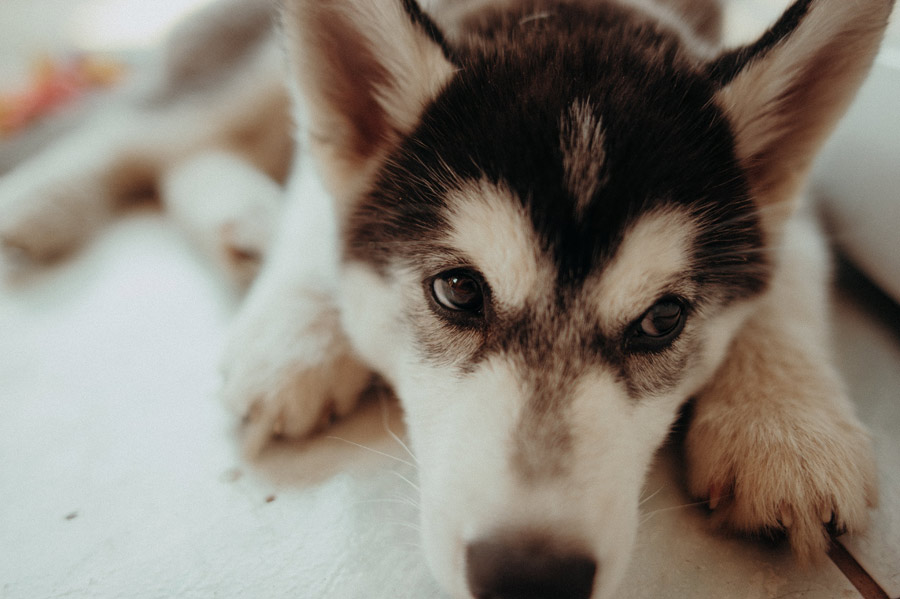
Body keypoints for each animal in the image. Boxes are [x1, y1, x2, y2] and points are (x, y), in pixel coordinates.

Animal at [1, 1, 892, 599]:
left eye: (664, 319)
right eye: (459, 289)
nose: (531, 577)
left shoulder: (785, 209)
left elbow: (789, 281)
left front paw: (787, 423)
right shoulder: (346, 162)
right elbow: (321, 210)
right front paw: (298, 331)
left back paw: (239, 220)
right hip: (244, 62)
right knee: (138, 130)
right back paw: (44, 201)